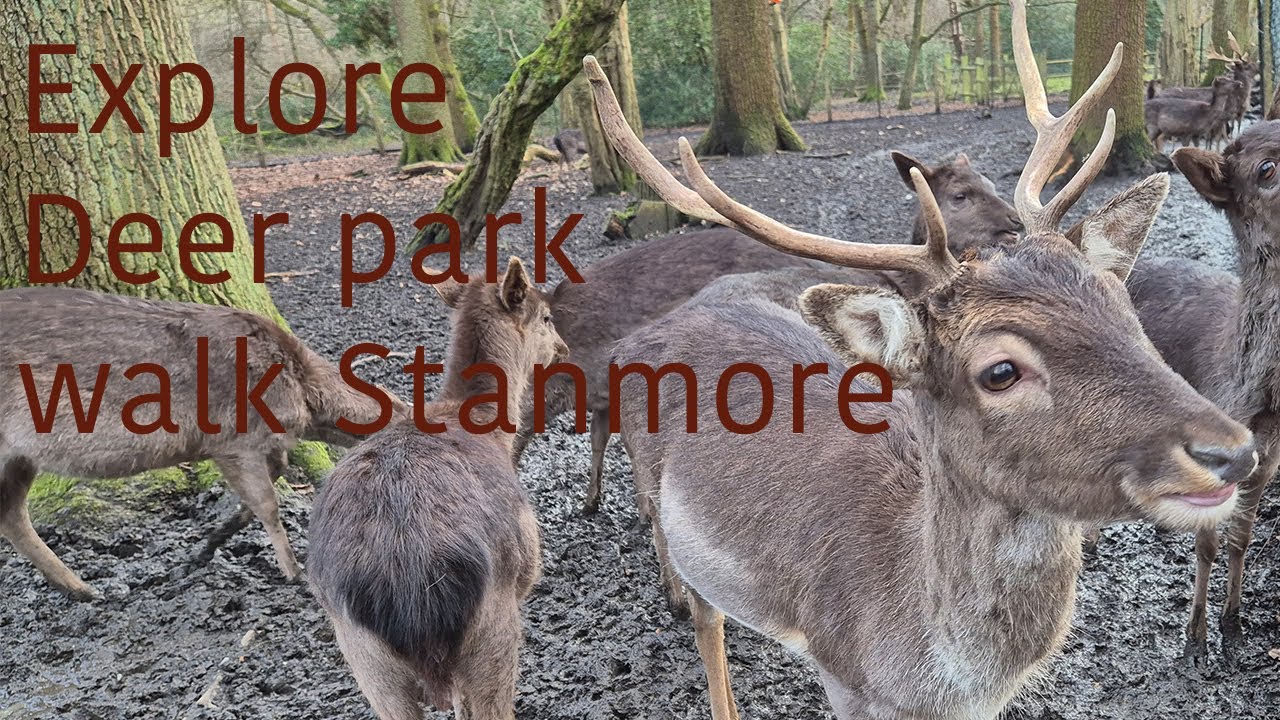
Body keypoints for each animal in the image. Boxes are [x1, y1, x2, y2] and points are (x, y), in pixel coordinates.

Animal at [0, 287, 408, 600]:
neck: (303, 401)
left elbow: (270, 480)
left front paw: (202, 552)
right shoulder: (232, 437)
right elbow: (268, 503)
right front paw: (295, 573)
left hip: (19, 458)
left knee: (11, 512)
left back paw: (82, 589)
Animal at [582, 0, 1258, 715]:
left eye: (1126, 311)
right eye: (1000, 371)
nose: (1232, 451)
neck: (933, 674)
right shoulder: (845, 675)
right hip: (666, 510)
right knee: (704, 616)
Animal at [1125, 102, 1280, 660]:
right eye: (1265, 169)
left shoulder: (1269, 460)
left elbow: (1242, 538)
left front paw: (1234, 626)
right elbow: (1207, 543)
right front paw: (1195, 638)